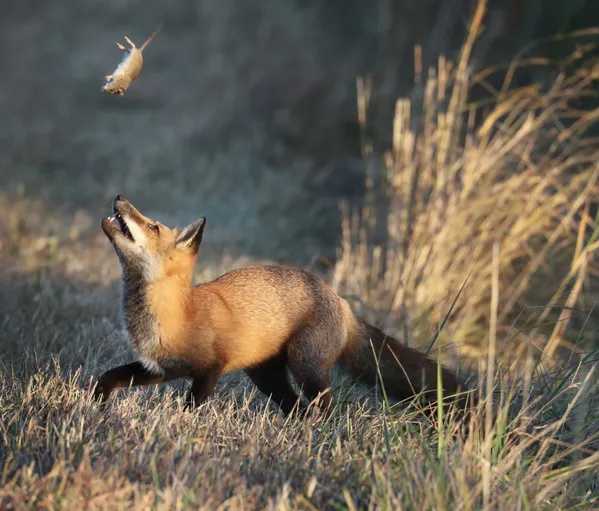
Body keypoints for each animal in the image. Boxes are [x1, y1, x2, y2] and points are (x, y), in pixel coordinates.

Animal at [94, 195, 468, 416]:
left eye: (152, 226)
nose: (119, 198)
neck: (173, 315)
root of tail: (340, 300)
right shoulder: (159, 368)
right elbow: (107, 378)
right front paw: (97, 404)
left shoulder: (210, 368)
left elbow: (191, 405)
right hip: (268, 377)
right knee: (296, 407)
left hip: (306, 369)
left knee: (324, 407)